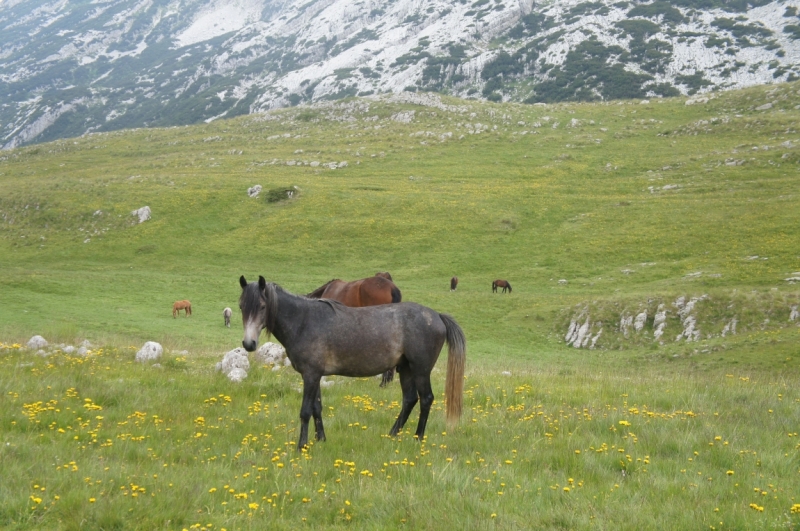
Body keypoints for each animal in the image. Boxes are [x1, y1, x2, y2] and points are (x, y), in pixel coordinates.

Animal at [238, 276, 466, 450]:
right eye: (241, 307)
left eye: (262, 306)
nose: (249, 344)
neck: (304, 321)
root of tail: (437, 316)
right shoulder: (315, 375)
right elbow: (317, 408)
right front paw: (320, 439)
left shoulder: (310, 375)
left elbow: (305, 411)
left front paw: (302, 446)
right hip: (406, 369)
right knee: (410, 399)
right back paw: (392, 434)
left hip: (420, 370)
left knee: (426, 399)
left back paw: (418, 438)